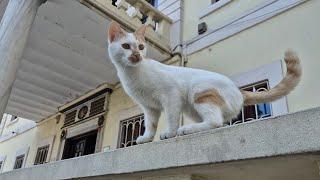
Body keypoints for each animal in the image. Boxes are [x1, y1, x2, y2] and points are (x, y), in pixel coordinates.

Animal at [108, 21, 302, 144]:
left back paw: (186, 130)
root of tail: (238, 89)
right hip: (193, 108)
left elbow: (171, 118)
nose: (137, 55)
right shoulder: (149, 108)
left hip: (199, 93)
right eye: (126, 46)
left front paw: (170, 133)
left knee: (215, 122)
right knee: (219, 124)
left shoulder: (171, 96)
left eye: (141, 47)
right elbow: (150, 124)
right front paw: (147, 138)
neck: (133, 73)